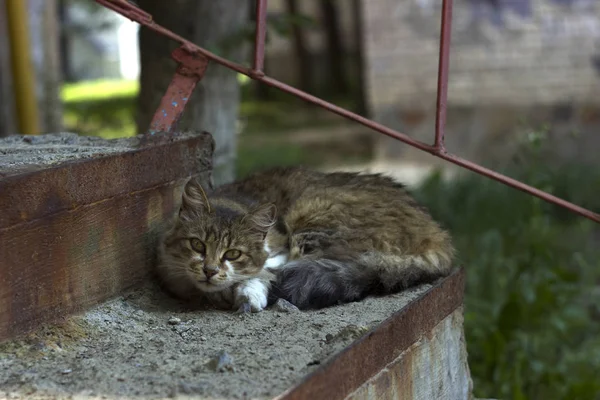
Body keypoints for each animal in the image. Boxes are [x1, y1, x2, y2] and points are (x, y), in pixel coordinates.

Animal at [157, 166, 452, 312]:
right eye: (197, 245)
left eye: (232, 253)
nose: (209, 270)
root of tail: (439, 234)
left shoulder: (280, 246)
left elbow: (264, 270)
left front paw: (247, 293)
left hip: (313, 213)